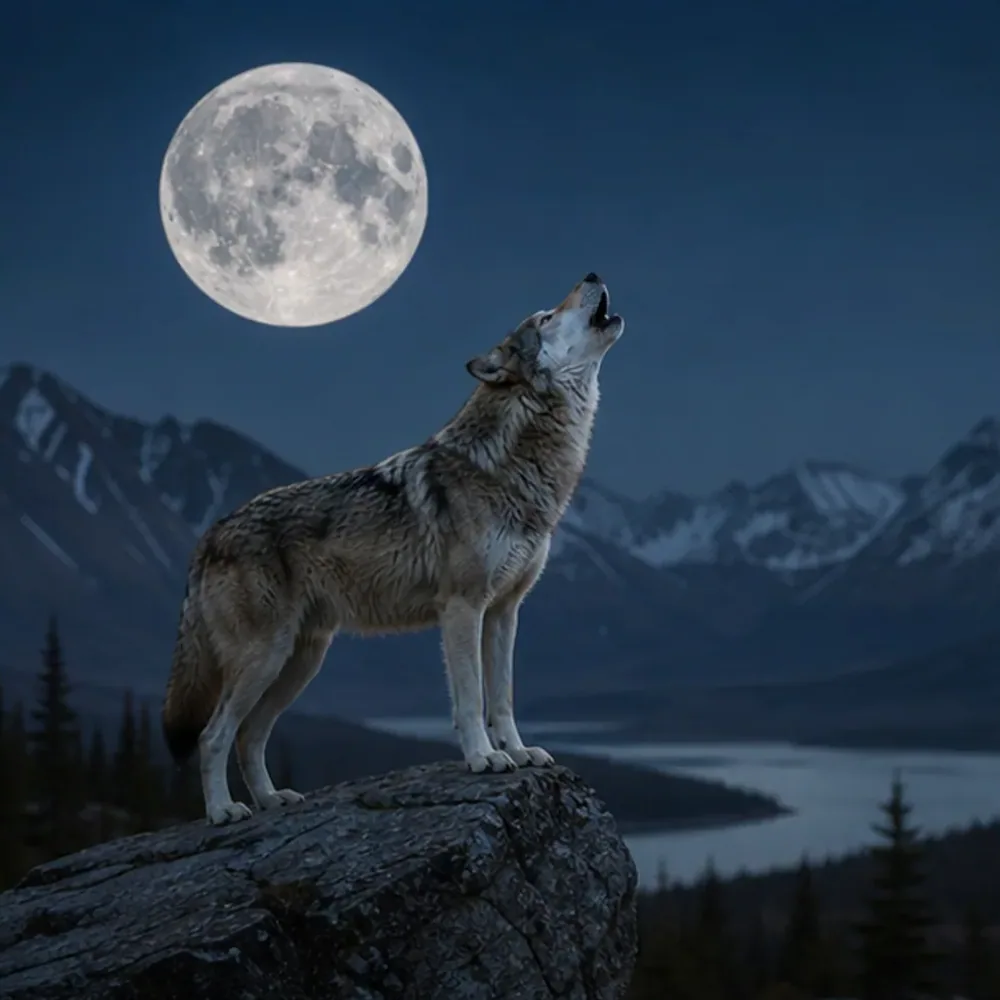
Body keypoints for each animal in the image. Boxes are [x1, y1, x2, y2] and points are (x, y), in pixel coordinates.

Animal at [161, 272, 625, 825]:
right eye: (547, 317)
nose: (592, 274)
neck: (516, 465)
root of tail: (210, 533)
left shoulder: (504, 612)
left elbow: (503, 698)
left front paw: (517, 751)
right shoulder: (462, 608)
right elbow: (471, 698)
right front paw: (483, 758)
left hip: (301, 661)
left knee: (248, 736)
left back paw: (272, 800)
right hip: (265, 658)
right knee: (213, 736)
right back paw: (223, 812)